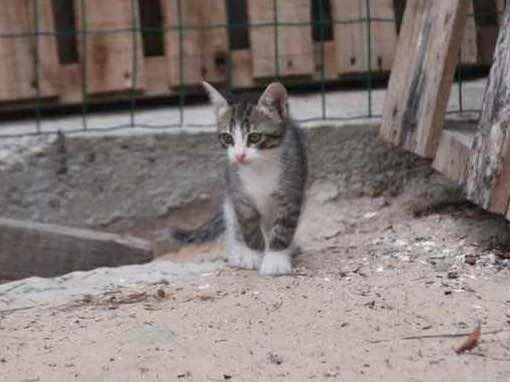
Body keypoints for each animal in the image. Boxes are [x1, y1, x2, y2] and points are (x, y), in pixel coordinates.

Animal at [173, 82, 306, 276]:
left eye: (255, 137)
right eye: (227, 137)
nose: (239, 155)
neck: (260, 167)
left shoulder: (291, 191)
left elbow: (283, 228)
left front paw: (275, 260)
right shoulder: (239, 194)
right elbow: (249, 227)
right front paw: (254, 255)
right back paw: (239, 251)